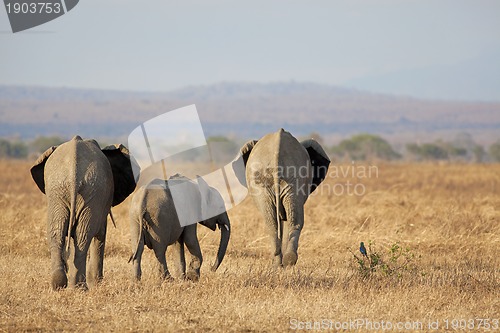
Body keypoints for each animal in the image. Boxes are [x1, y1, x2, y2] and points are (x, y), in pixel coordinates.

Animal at [31, 135, 138, 288]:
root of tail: (73, 171)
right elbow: (100, 234)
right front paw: (97, 284)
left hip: (62, 191)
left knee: (59, 232)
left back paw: (62, 285)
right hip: (83, 191)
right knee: (82, 236)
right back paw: (80, 287)